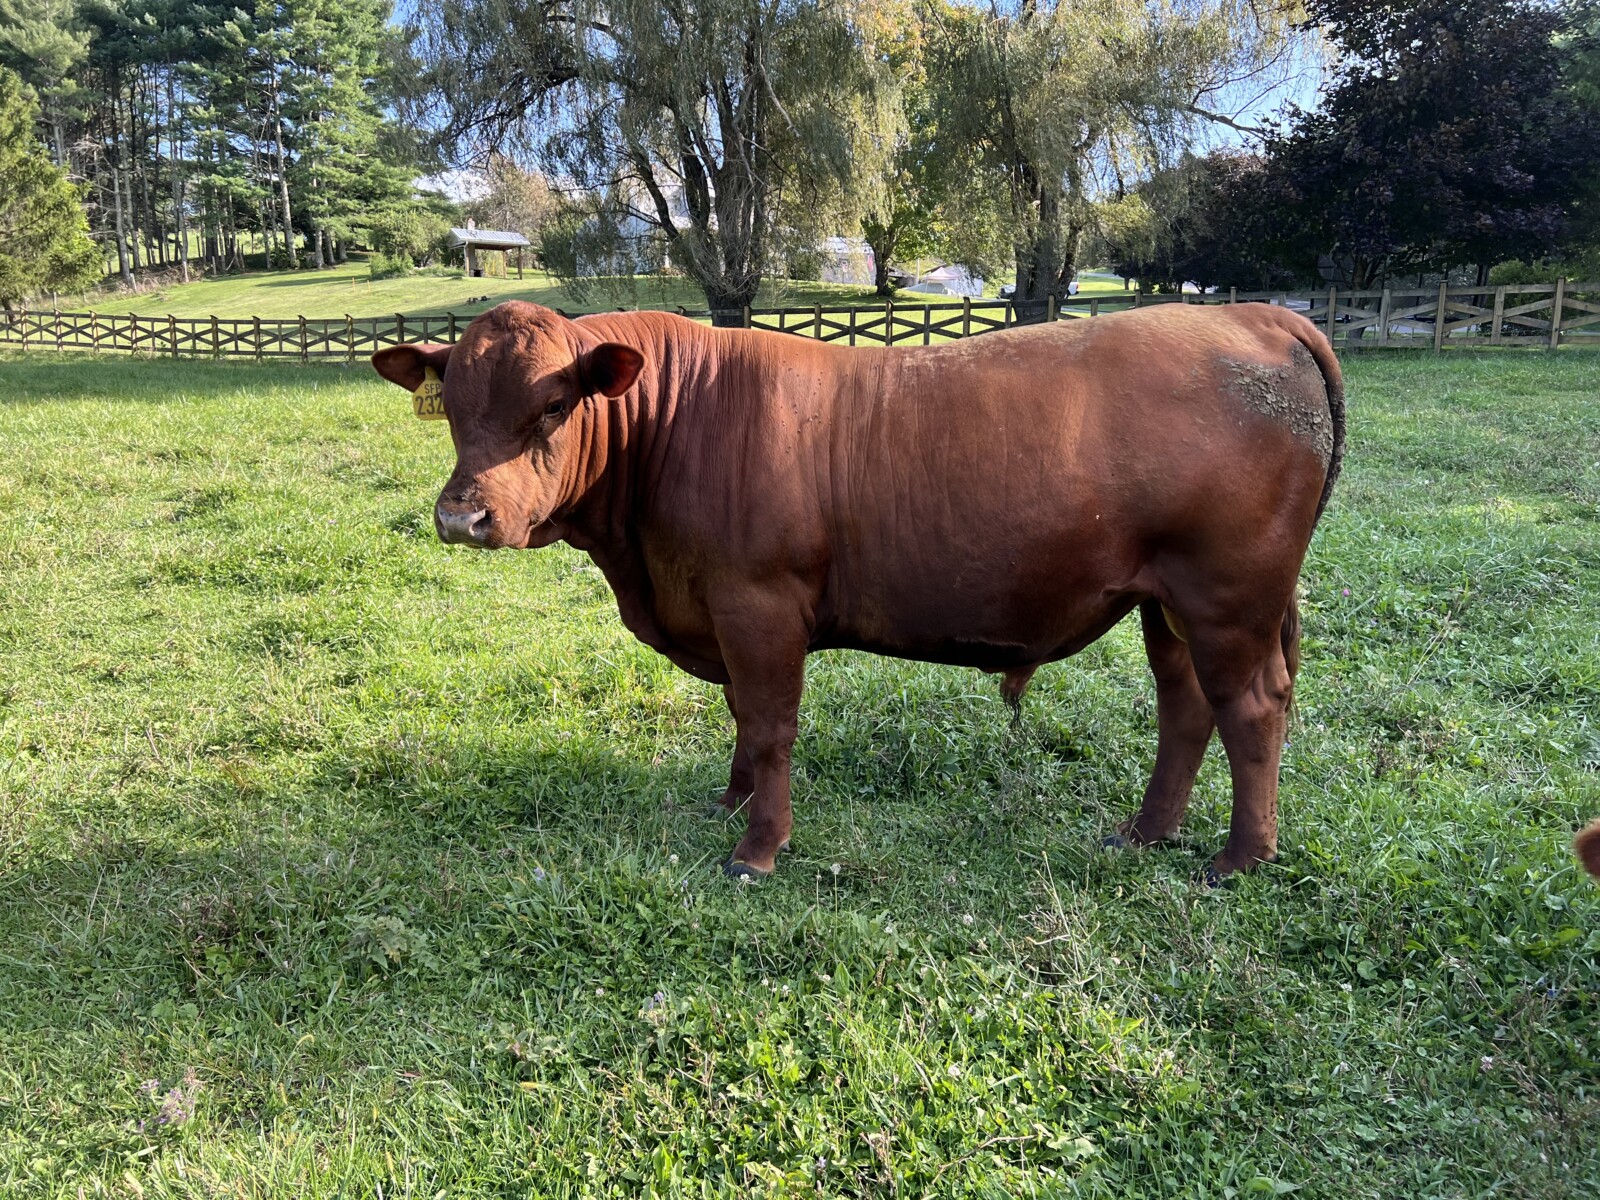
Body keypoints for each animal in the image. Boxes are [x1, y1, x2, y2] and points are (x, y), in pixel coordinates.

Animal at [372, 300, 1345, 883]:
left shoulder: (757, 602)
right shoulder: (724, 610)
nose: (462, 517)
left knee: (1250, 708)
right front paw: (729, 801)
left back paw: (1240, 858)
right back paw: (1146, 832)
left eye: (551, 407)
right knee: (1186, 705)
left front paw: (757, 848)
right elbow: (741, 715)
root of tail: (1250, 311)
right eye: (451, 407)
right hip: (1164, 601)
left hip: (1228, 596)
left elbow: (770, 724)